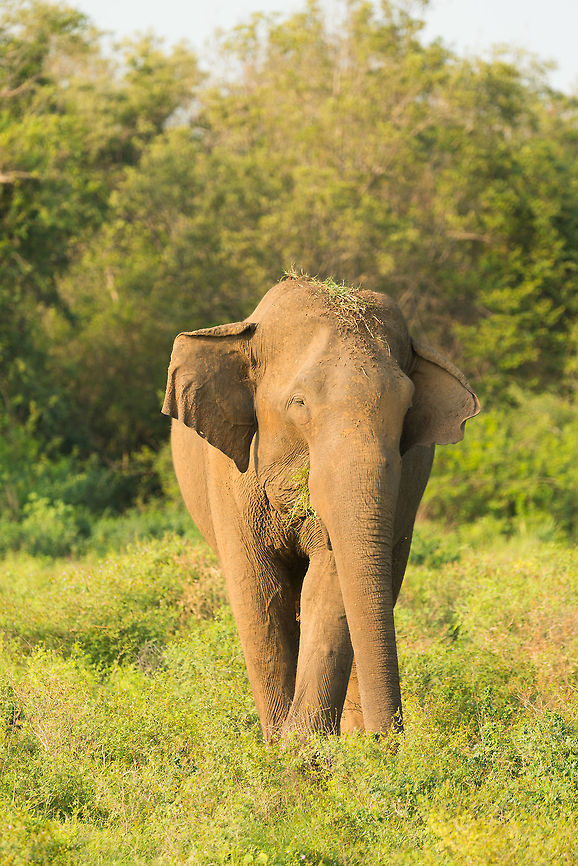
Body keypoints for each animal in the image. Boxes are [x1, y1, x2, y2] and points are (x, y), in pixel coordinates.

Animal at [162, 276, 480, 741]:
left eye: (407, 411)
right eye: (299, 404)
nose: (389, 739)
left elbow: (329, 587)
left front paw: (305, 744)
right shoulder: (229, 476)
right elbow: (260, 594)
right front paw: (281, 745)